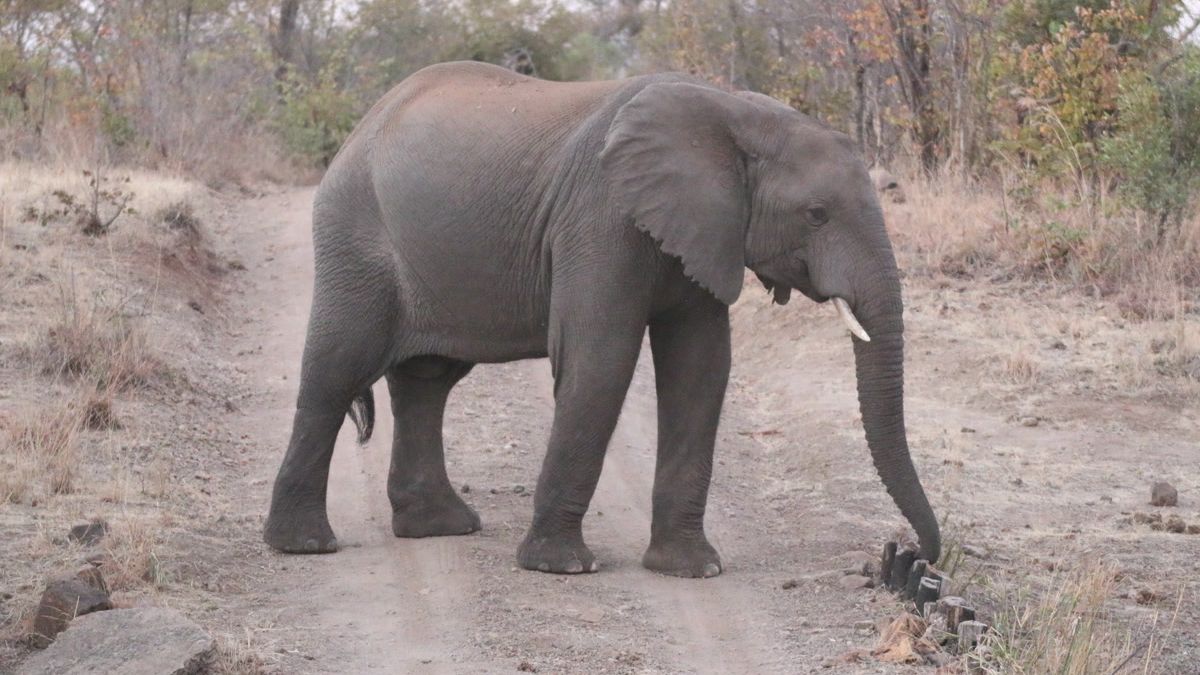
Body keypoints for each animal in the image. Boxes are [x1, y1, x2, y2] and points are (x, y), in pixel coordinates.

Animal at [263, 61, 940, 577]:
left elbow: (701, 371)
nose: (910, 558)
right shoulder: (600, 216)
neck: (734, 114)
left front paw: (692, 570)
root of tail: (363, 124)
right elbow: (601, 361)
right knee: (337, 369)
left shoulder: (701, 230)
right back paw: (304, 545)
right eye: (817, 214)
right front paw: (561, 568)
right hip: (356, 234)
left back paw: (439, 528)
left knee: (426, 381)